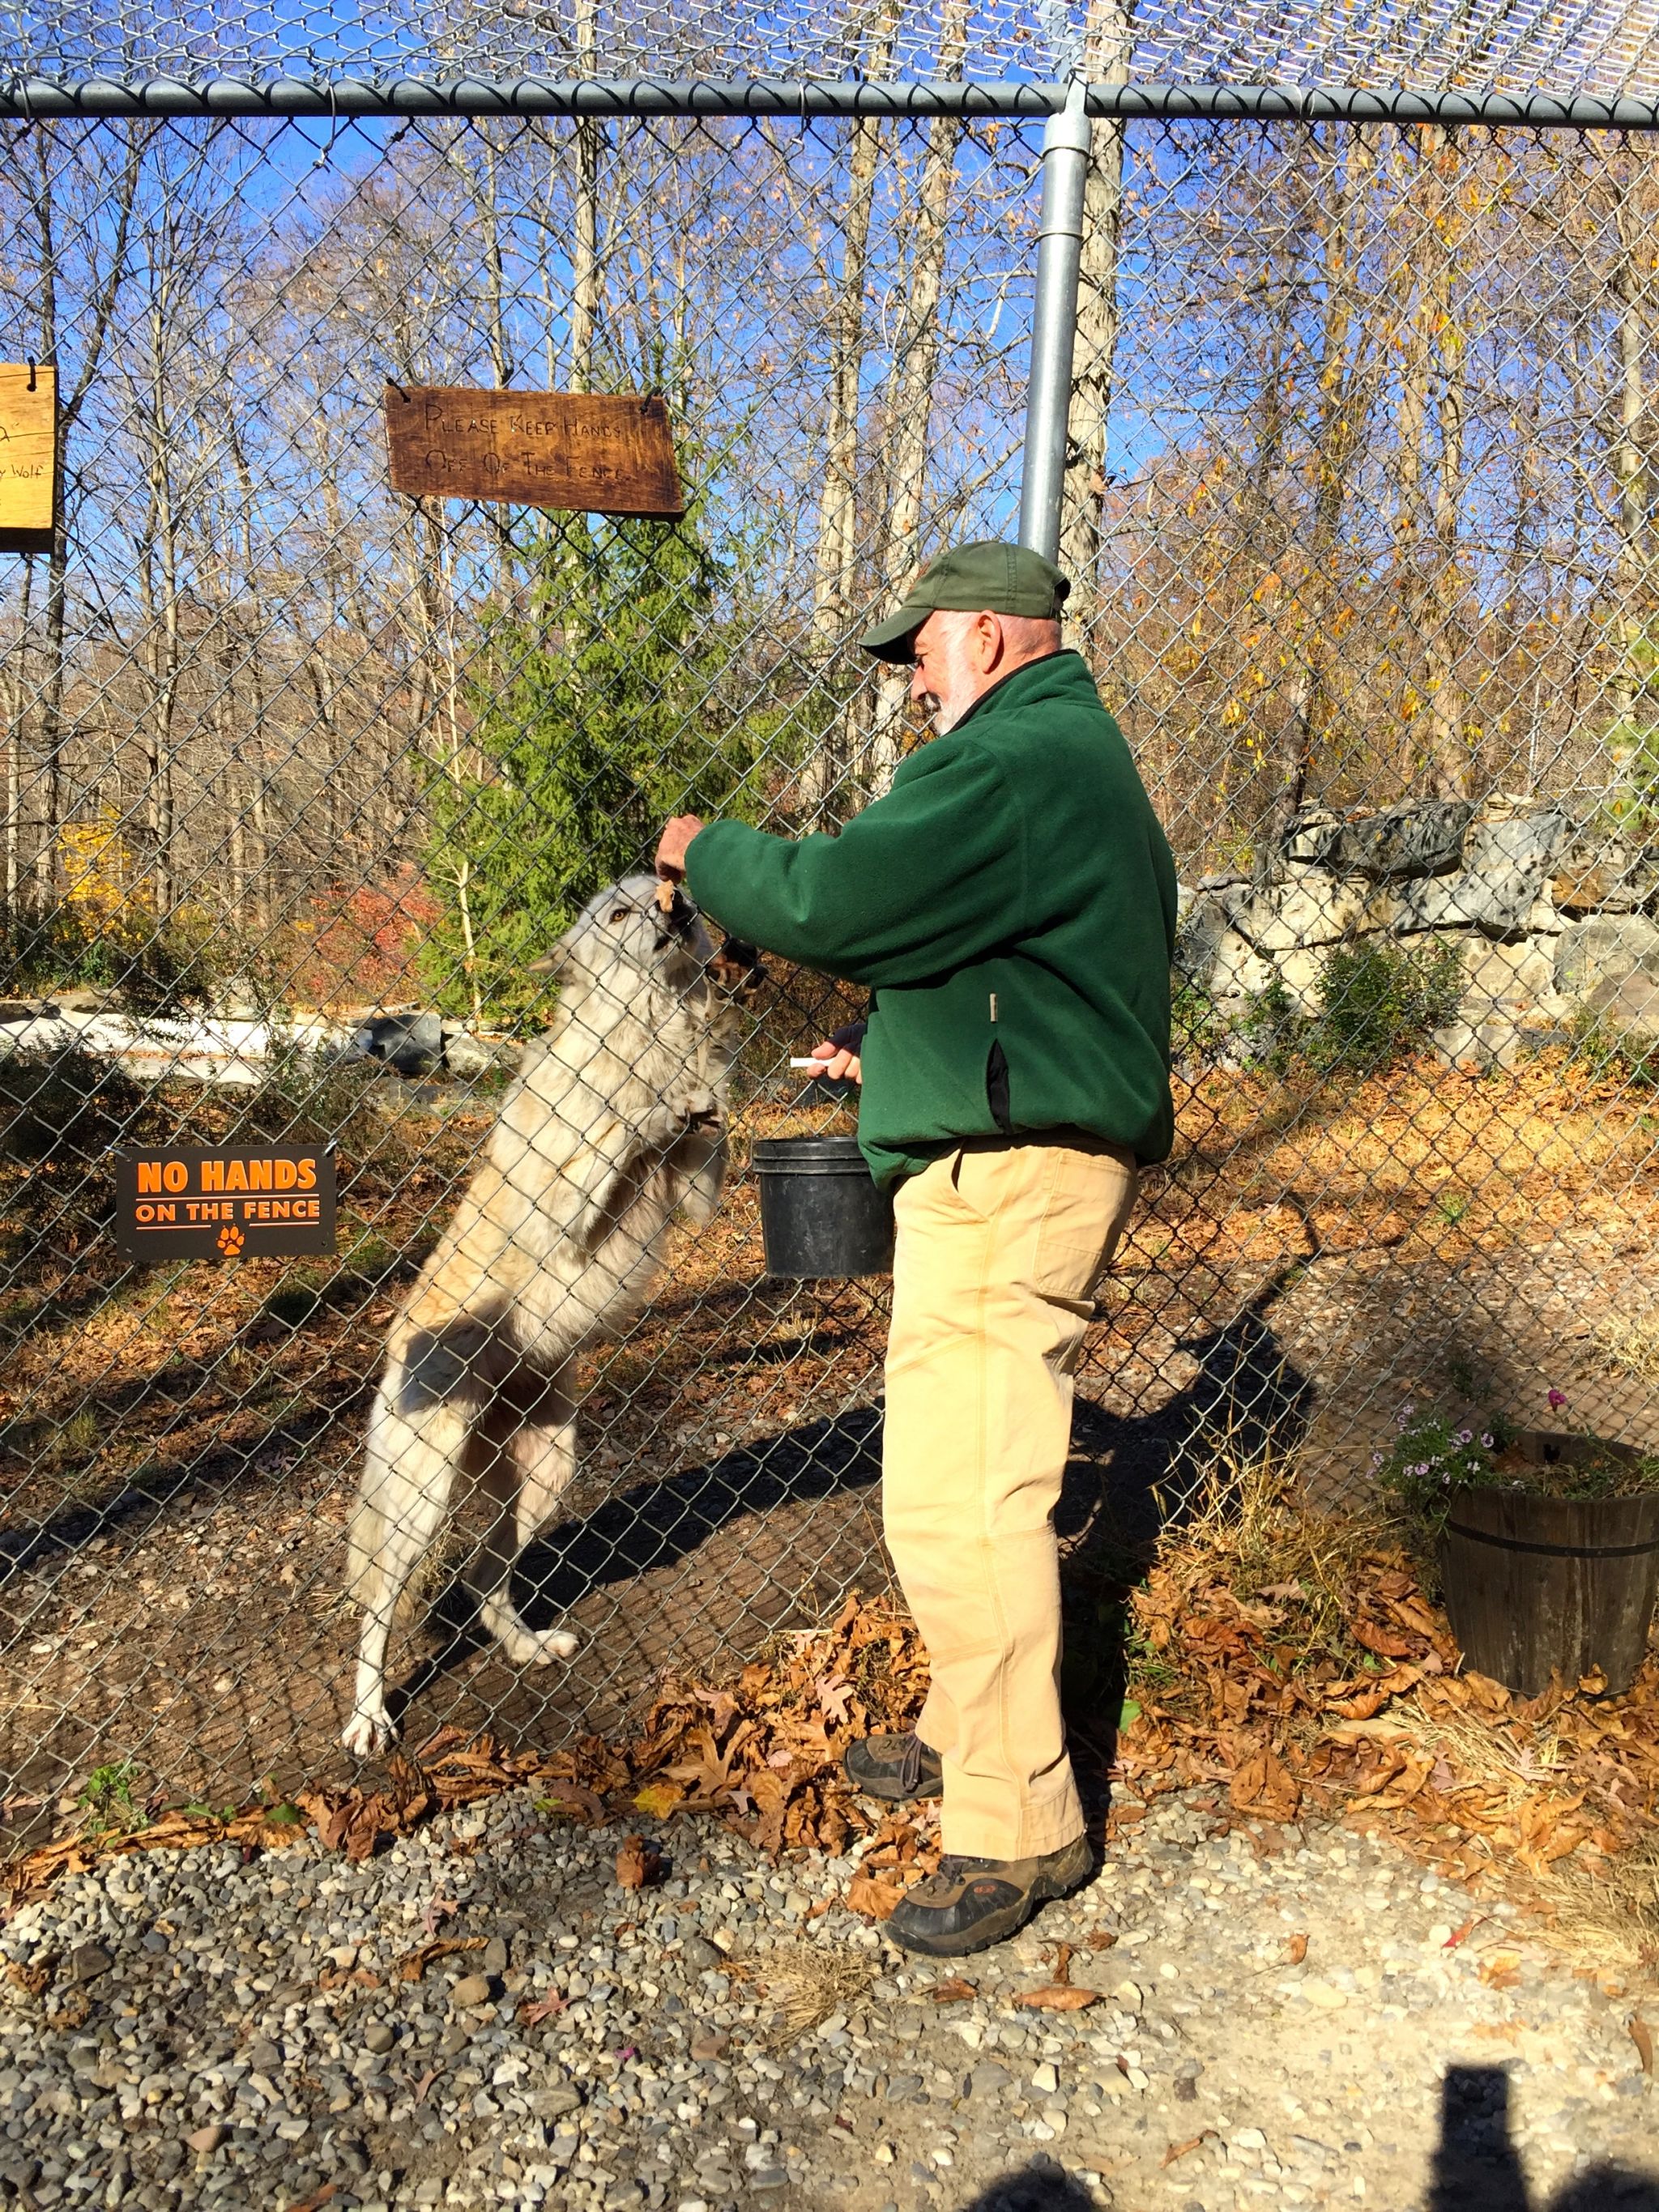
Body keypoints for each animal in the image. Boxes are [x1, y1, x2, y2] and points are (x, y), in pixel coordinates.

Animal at [342, 875, 760, 1757]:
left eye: (664, 893)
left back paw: (532, 1647)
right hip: (423, 1502)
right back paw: (368, 1719)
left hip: (544, 1477)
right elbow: (621, 1126)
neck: (651, 1030)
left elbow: (710, 1125)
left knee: (481, 1582)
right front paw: (655, 1104)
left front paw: (702, 1093)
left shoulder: (699, 1194)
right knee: (379, 1606)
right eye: (620, 913)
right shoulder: (563, 1209)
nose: (676, 908)